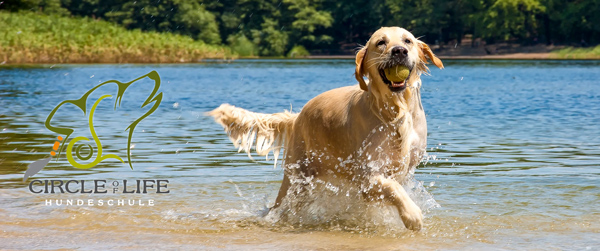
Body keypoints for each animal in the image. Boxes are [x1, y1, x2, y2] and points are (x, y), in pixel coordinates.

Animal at [209, 26, 442, 230]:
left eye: (407, 41)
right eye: (381, 42)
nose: (399, 51)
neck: (395, 111)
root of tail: (297, 117)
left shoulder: (405, 167)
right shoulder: (366, 175)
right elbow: (393, 188)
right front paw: (412, 215)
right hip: (297, 180)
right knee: (280, 207)